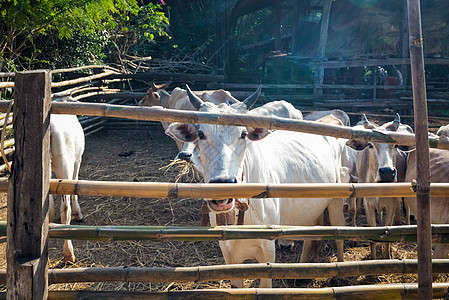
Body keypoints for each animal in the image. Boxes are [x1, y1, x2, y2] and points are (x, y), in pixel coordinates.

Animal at [166, 85, 344, 288]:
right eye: (201, 134)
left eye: (243, 134)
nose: (223, 185)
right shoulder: (229, 255)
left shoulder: (267, 253)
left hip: (336, 200)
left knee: (339, 229)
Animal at [346, 113, 412, 258]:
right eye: (370, 145)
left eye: (396, 146)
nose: (387, 172)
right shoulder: (368, 204)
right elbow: (373, 234)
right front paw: (374, 257)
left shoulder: (391, 203)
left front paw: (386, 256)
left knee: (404, 204)